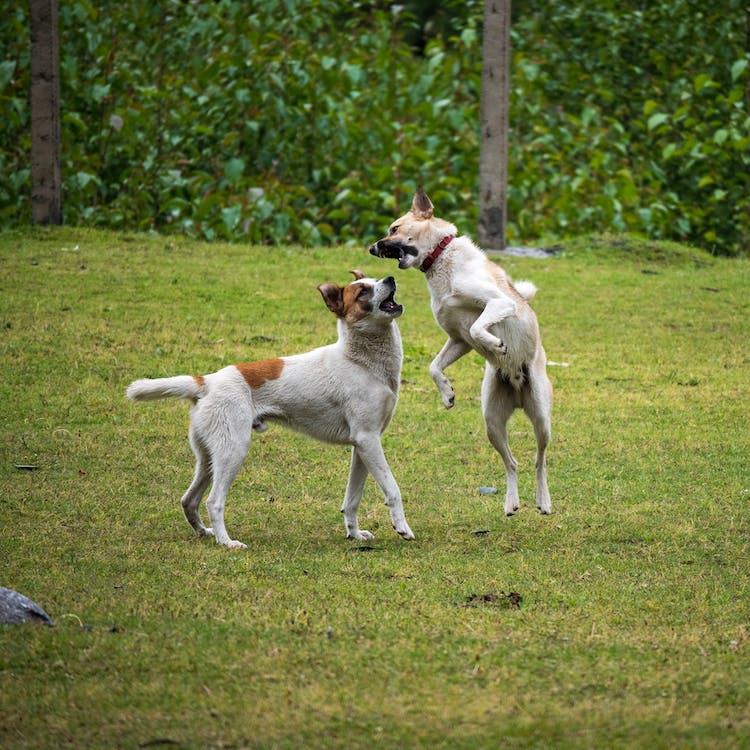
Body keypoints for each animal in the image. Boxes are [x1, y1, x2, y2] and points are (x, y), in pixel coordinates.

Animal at [125, 274, 414, 548]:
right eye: (363, 291)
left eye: (375, 280)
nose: (390, 278)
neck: (359, 360)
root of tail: (206, 381)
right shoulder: (368, 441)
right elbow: (393, 489)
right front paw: (402, 527)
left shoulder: (361, 447)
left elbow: (351, 500)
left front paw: (354, 534)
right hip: (233, 450)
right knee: (213, 501)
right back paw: (226, 542)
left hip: (209, 457)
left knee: (189, 500)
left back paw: (205, 533)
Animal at [370, 188, 552, 516]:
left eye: (394, 229)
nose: (371, 247)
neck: (441, 257)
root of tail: (519, 394)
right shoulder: (458, 339)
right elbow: (434, 366)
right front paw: (447, 394)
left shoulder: (499, 304)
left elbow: (481, 326)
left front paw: (495, 345)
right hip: (492, 423)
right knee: (512, 462)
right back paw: (511, 502)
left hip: (542, 418)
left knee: (539, 460)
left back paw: (543, 501)